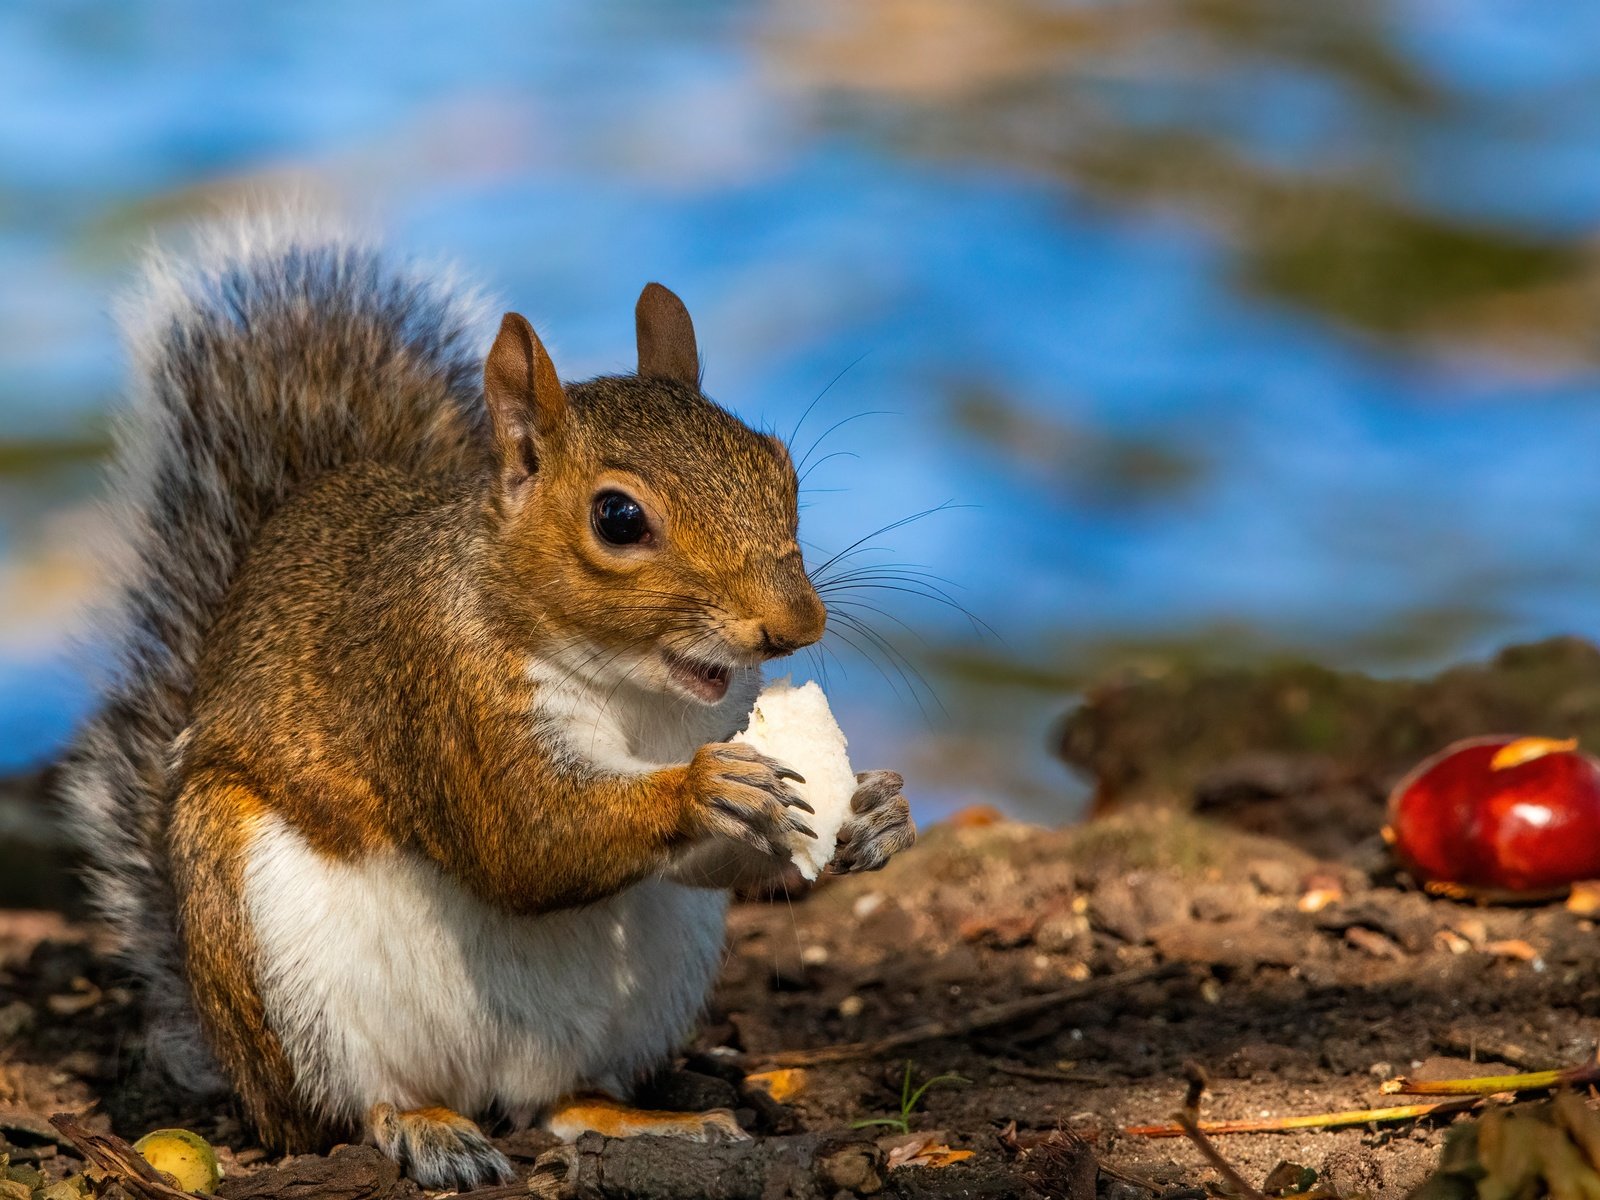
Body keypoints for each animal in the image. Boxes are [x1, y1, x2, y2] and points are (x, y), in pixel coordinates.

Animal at [59, 219, 915, 1196]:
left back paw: (642, 1118)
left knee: (556, 1101)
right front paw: (701, 790)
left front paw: (878, 815)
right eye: (619, 518)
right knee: (347, 1106)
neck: (633, 690)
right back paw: (423, 1128)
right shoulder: (432, 683)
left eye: (781, 471)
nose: (795, 624)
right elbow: (522, 839)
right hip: (272, 961)